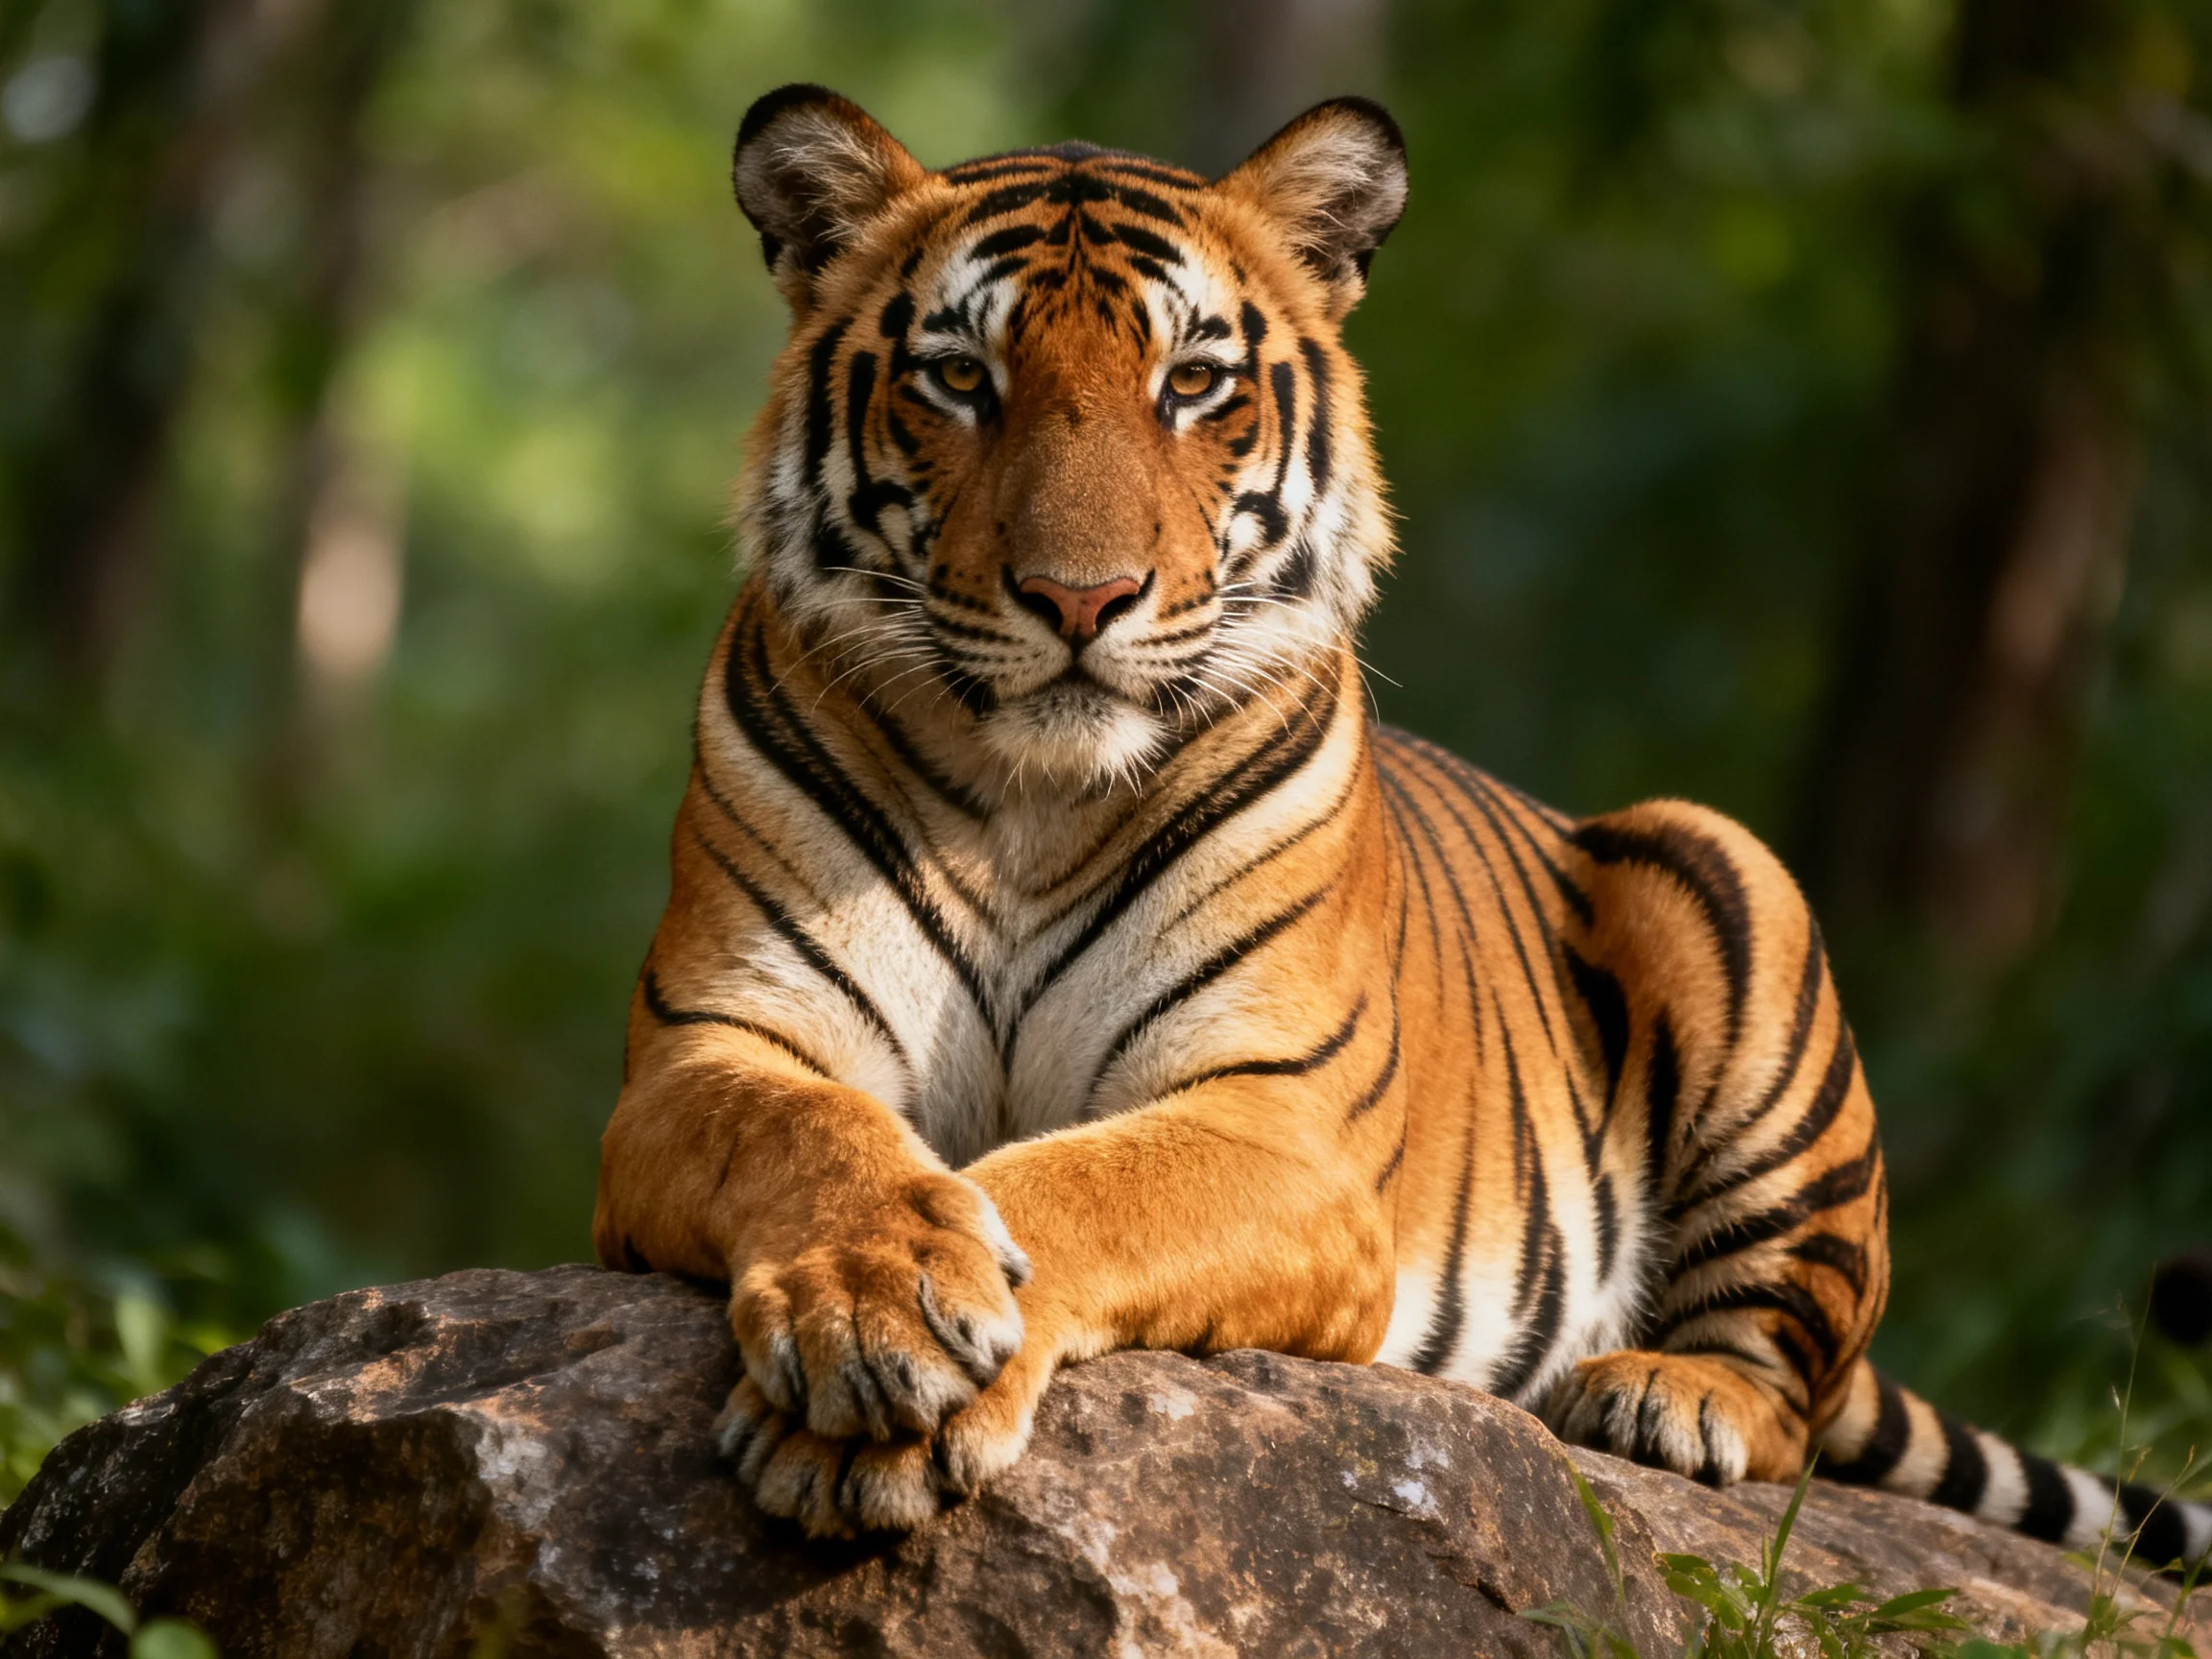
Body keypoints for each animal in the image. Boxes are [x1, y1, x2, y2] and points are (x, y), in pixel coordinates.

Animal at [591, 82, 2212, 1569]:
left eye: (1193, 382)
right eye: (957, 377)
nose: (1079, 599)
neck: (1028, 803)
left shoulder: (1276, 1116)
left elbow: (1074, 1186)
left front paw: (898, 1369)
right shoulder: (710, 1049)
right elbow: (817, 1135)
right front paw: (879, 1305)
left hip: (1722, 871)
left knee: (1790, 1400)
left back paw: (1663, 1397)